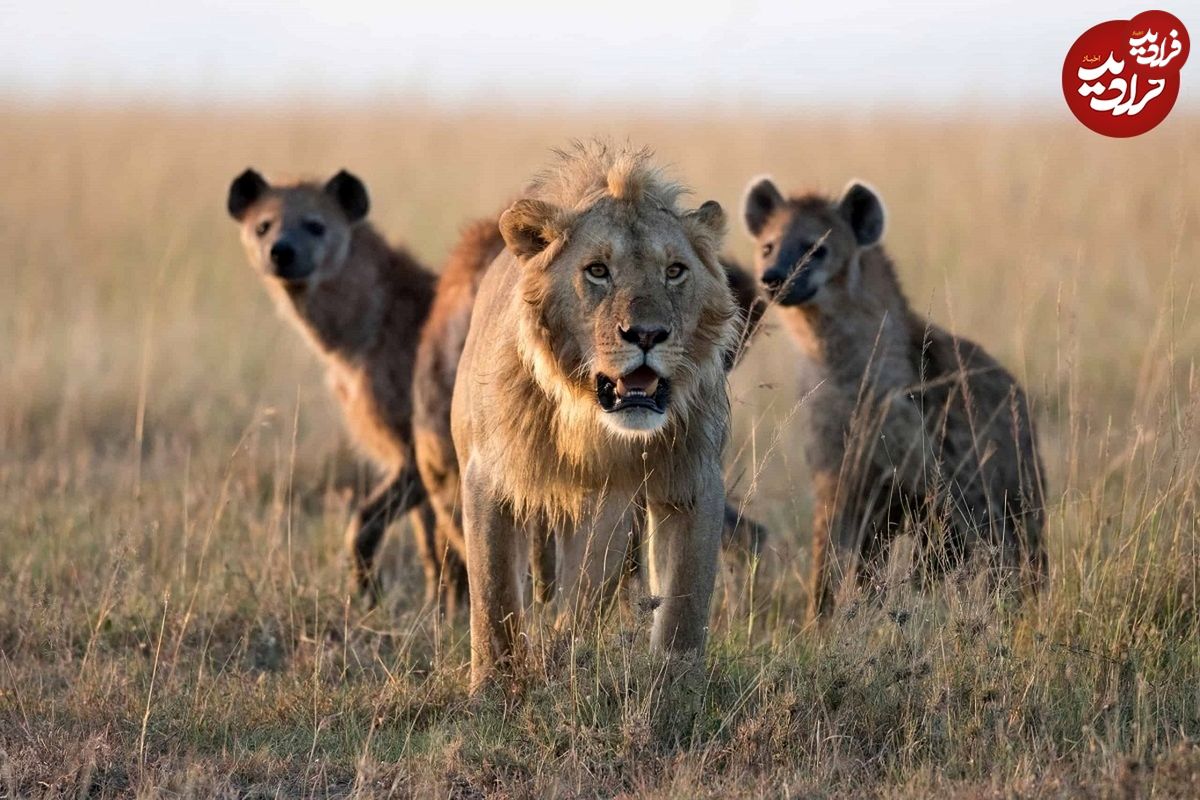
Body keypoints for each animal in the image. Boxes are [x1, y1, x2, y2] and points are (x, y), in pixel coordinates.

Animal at [451, 142, 734, 690]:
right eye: (598, 270)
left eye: (674, 271)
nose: (646, 334)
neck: (591, 423)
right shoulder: (488, 476)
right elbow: (493, 598)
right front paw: (492, 688)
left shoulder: (690, 480)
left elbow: (685, 605)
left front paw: (679, 688)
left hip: (610, 519)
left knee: (580, 603)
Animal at [744, 178, 1046, 623]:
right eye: (768, 246)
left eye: (816, 248)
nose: (773, 278)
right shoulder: (838, 477)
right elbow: (829, 562)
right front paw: (820, 624)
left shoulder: (943, 487)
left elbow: (941, 562)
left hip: (1017, 492)